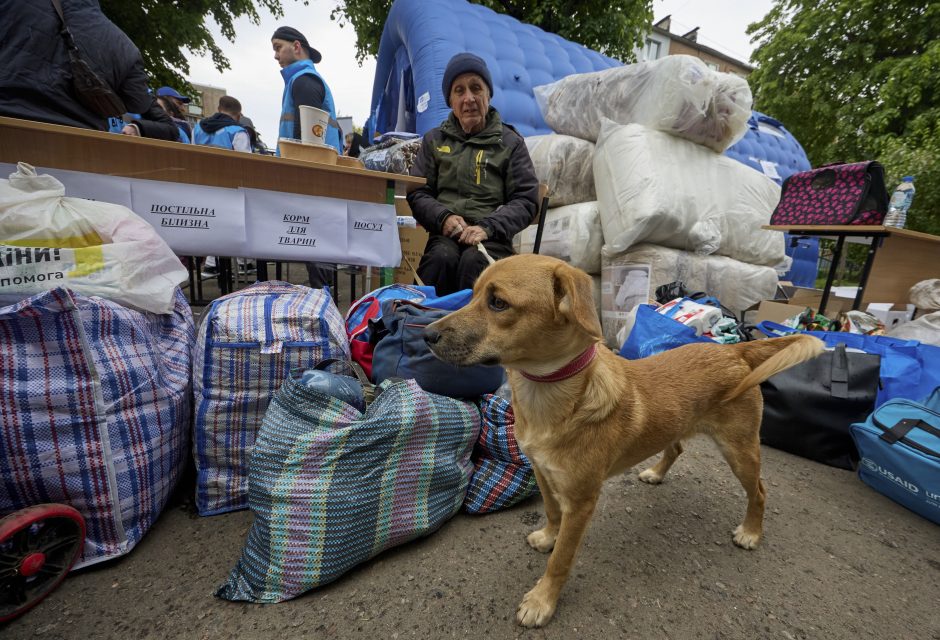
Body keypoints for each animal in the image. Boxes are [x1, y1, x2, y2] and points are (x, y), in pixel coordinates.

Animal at [422, 254, 828, 624]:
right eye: (474, 294)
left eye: (498, 303)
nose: (426, 335)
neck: (553, 395)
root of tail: (735, 350)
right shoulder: (543, 472)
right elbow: (551, 513)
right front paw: (548, 536)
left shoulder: (582, 502)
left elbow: (561, 559)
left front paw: (542, 601)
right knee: (677, 446)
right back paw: (656, 473)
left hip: (740, 450)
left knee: (759, 491)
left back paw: (751, 532)